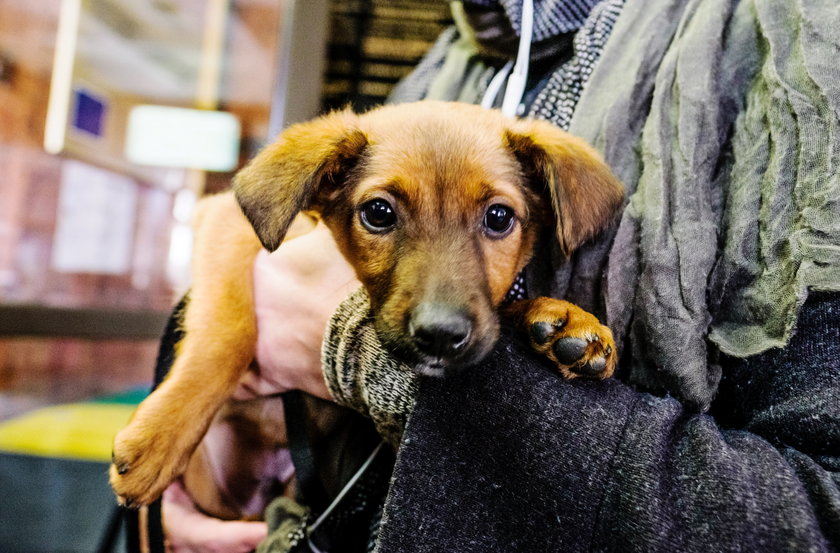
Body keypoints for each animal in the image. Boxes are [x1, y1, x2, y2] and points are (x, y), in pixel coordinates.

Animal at [108, 101, 624, 506]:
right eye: (378, 213)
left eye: (499, 217)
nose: (440, 335)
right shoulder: (224, 224)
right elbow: (228, 332)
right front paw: (161, 435)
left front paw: (564, 322)